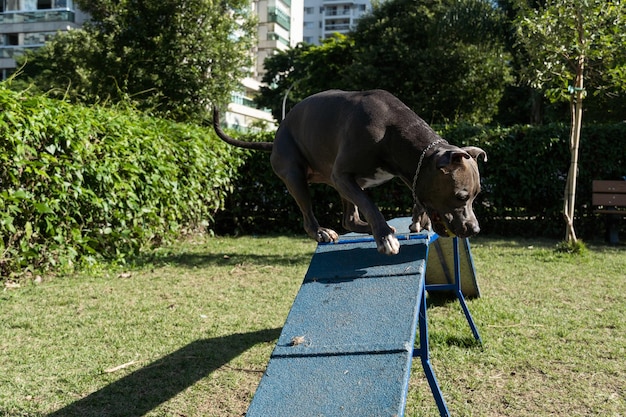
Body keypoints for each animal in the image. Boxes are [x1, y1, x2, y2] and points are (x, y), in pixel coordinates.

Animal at [212, 89, 486, 255]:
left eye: (476, 196)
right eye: (461, 196)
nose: (475, 230)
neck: (393, 130)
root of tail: (275, 136)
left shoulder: (406, 172)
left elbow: (416, 195)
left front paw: (418, 219)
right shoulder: (342, 175)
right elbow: (370, 205)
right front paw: (384, 237)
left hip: (342, 184)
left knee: (349, 219)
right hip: (297, 176)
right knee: (310, 215)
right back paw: (323, 232)